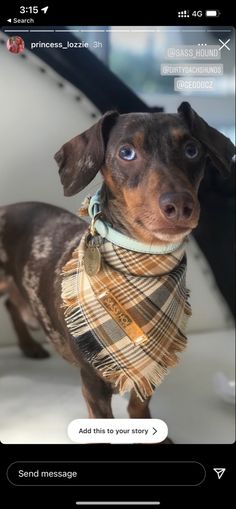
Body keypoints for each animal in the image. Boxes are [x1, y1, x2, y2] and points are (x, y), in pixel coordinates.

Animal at [0, 101, 234, 422]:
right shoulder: (93, 380)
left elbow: (139, 405)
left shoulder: (150, 367)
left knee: (12, 304)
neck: (140, 266)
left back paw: (28, 345)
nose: (180, 205)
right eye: (126, 152)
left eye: (191, 150)